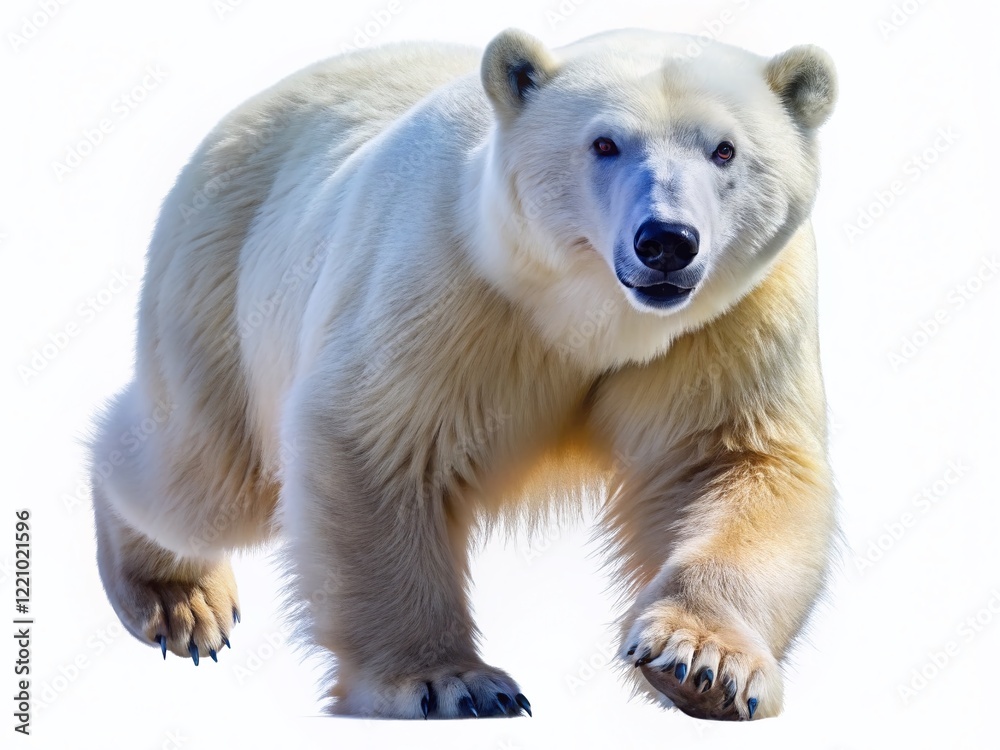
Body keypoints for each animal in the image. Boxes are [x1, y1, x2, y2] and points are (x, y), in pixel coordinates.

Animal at [89, 27, 838, 721]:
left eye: (724, 149)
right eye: (603, 144)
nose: (667, 242)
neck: (593, 315)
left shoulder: (730, 321)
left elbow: (739, 463)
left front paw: (701, 665)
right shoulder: (449, 282)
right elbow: (373, 443)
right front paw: (451, 683)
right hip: (223, 286)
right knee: (202, 478)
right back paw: (179, 599)